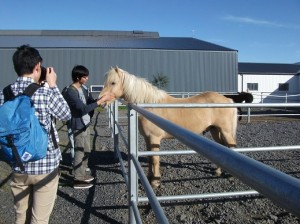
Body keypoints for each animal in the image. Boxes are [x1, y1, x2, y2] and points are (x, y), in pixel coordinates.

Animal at [99, 67, 238, 189]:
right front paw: (150, 177)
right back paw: (218, 171)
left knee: (232, 147)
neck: (150, 106)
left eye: (113, 82)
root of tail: (227, 100)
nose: (100, 101)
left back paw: (230, 175)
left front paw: (155, 182)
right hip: (215, 130)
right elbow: (150, 158)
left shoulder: (154, 139)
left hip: (225, 131)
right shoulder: (148, 139)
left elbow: (155, 159)